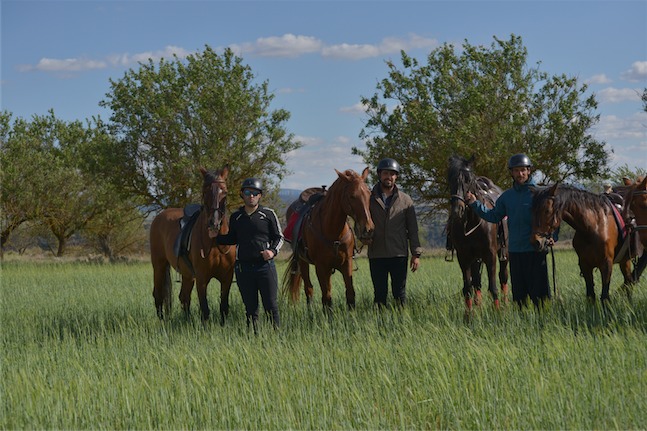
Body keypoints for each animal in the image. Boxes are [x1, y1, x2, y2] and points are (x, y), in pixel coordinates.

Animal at [149, 167, 235, 322]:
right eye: (205, 192)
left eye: (224, 192)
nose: (214, 223)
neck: (215, 243)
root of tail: (158, 217)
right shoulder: (202, 278)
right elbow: (205, 310)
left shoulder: (227, 278)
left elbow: (224, 307)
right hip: (159, 266)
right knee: (158, 294)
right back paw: (162, 322)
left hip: (187, 274)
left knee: (184, 297)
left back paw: (187, 321)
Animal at [282, 168, 374, 310]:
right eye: (352, 196)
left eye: (369, 194)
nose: (368, 230)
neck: (333, 231)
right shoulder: (321, 267)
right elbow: (326, 297)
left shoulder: (346, 264)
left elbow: (350, 293)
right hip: (303, 262)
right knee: (309, 289)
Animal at [448, 157, 508, 312]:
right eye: (450, 178)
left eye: (468, 179)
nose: (457, 210)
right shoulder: (464, 257)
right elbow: (468, 287)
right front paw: (469, 314)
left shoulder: (490, 255)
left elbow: (493, 286)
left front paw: (497, 311)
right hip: (476, 259)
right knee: (477, 282)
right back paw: (478, 305)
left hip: (504, 253)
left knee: (503, 276)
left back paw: (504, 303)